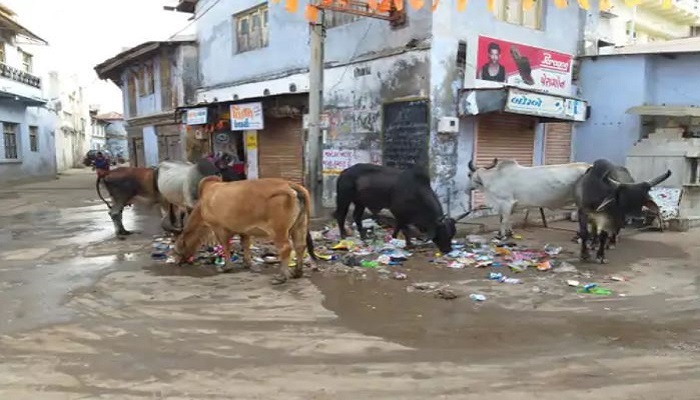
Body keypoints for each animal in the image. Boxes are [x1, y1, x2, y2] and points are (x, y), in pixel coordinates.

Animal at [175, 176, 318, 284]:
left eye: (178, 247)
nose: (177, 262)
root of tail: (290, 185)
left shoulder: (219, 228)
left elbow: (226, 247)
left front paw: (226, 267)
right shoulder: (244, 230)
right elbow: (245, 244)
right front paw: (247, 263)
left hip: (279, 230)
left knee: (285, 248)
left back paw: (281, 277)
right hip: (300, 225)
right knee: (300, 246)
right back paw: (297, 272)